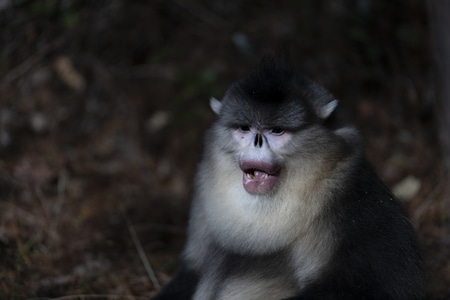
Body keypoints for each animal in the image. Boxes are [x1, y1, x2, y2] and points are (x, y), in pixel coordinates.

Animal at [153, 56, 424, 300]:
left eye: (277, 131)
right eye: (244, 128)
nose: (256, 142)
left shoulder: (355, 198)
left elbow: (379, 287)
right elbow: (192, 271)